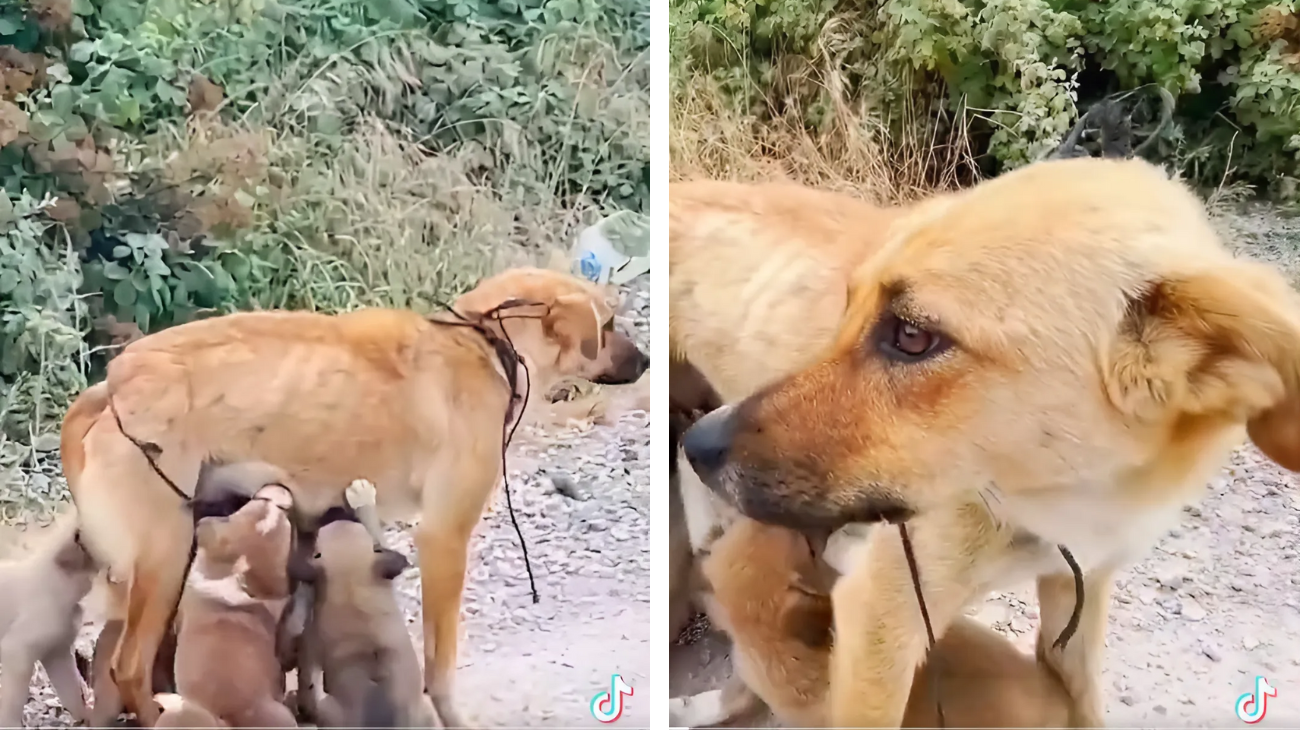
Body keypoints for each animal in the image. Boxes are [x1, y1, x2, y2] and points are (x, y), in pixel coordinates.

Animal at [681, 156, 1300, 722]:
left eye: (912, 335)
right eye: (847, 307)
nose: (699, 445)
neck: (1066, 500)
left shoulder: (1078, 591)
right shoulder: (879, 621)